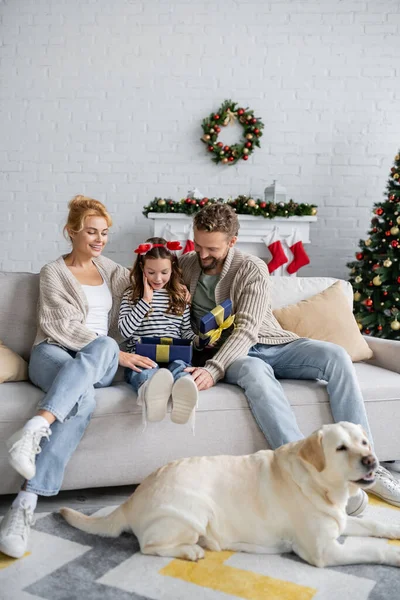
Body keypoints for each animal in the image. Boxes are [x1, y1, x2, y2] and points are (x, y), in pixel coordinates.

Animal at [59, 422, 400, 568]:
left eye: (364, 442)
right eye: (341, 448)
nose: (372, 460)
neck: (324, 487)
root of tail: (132, 497)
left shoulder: (340, 520)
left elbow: (375, 525)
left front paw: (393, 530)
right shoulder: (324, 551)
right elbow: (373, 550)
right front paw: (394, 557)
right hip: (195, 510)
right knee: (149, 546)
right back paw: (191, 551)